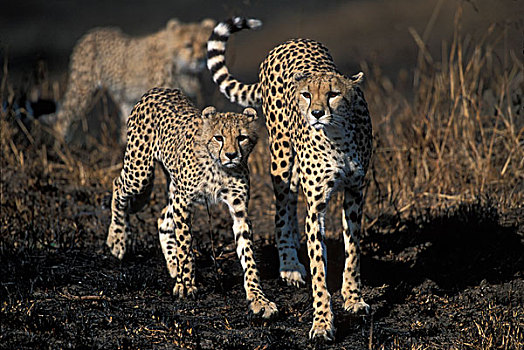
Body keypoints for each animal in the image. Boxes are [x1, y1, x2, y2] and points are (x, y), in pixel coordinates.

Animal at [106, 88, 278, 320]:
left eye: (241, 137)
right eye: (218, 138)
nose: (231, 155)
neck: (219, 168)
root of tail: (159, 89)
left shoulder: (239, 210)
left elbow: (248, 255)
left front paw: (258, 299)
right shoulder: (183, 201)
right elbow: (185, 243)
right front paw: (186, 284)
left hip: (170, 185)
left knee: (162, 219)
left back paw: (172, 264)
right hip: (139, 171)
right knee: (118, 186)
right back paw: (118, 239)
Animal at [206, 17, 372, 340]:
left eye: (333, 93)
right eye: (307, 94)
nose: (317, 113)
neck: (338, 136)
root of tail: (290, 41)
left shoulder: (355, 193)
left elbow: (353, 249)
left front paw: (353, 296)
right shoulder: (317, 205)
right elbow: (319, 267)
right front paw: (322, 321)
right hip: (281, 157)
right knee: (283, 208)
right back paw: (290, 264)